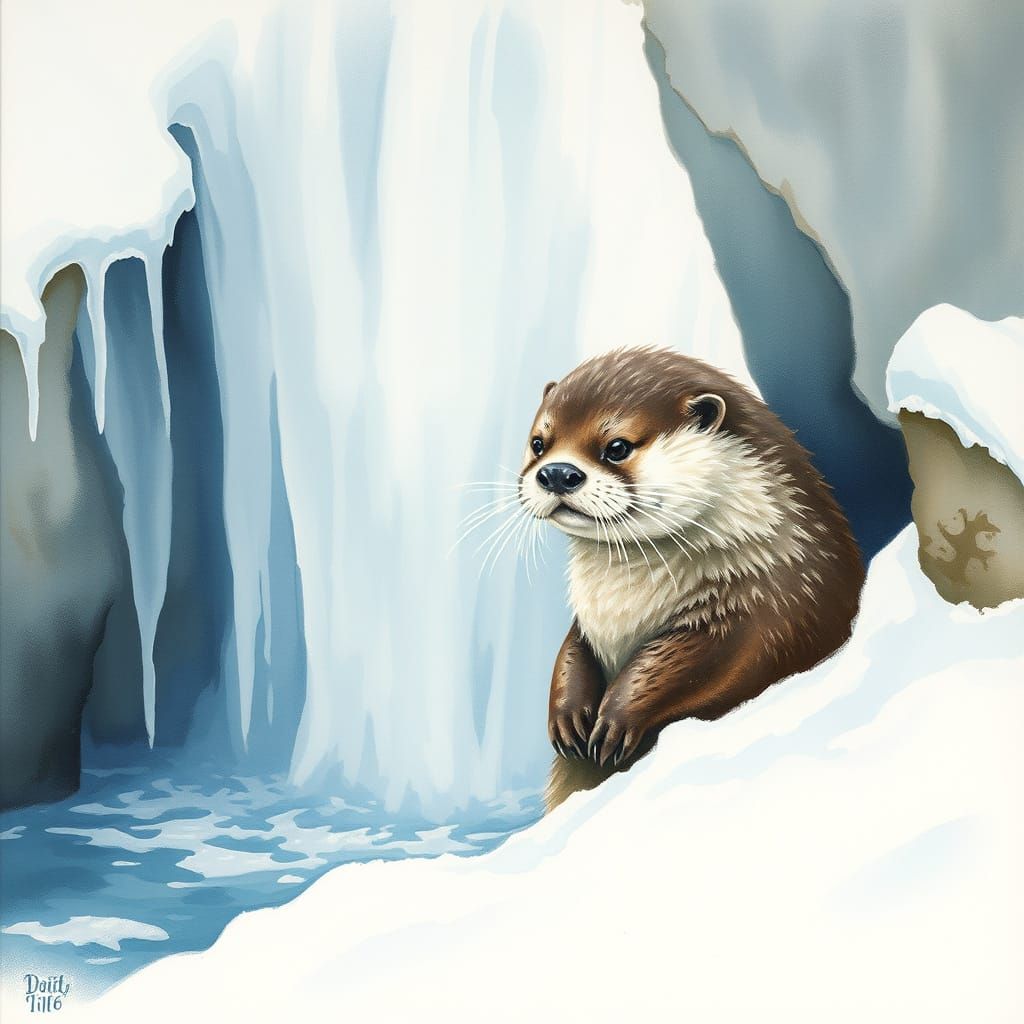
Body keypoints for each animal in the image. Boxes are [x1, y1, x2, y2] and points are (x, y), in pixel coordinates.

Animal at [518, 347, 865, 810]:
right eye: (539, 442)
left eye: (617, 447)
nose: (556, 473)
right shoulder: (587, 625)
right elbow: (573, 651)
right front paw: (567, 713)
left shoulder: (767, 600)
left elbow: (696, 664)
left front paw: (617, 718)